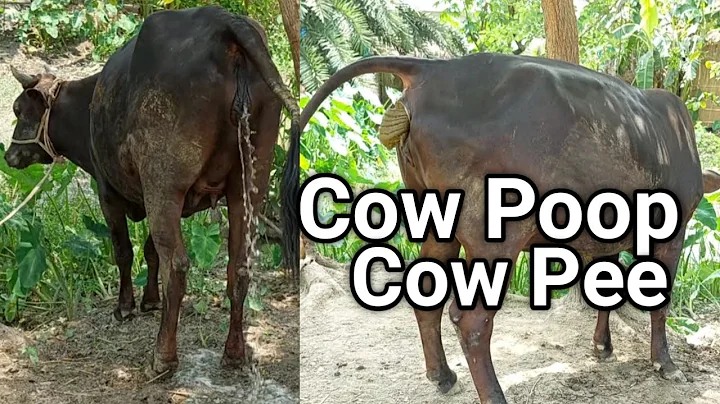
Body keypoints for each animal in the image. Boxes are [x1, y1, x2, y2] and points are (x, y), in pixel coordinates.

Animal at [4, 5, 300, 376]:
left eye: (18, 110)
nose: (9, 155)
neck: (86, 107)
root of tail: (224, 22)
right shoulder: (164, 198)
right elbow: (150, 251)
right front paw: (150, 300)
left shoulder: (110, 192)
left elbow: (125, 251)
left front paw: (126, 305)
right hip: (248, 182)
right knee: (239, 266)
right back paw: (234, 353)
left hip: (165, 183)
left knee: (179, 266)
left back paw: (163, 357)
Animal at [298, 53, 720, 403]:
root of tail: (435, 70)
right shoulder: (673, 230)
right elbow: (660, 302)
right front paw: (665, 364)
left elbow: (606, 294)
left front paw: (602, 347)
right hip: (495, 233)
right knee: (471, 320)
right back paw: (493, 395)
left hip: (437, 219)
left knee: (427, 297)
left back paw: (442, 376)